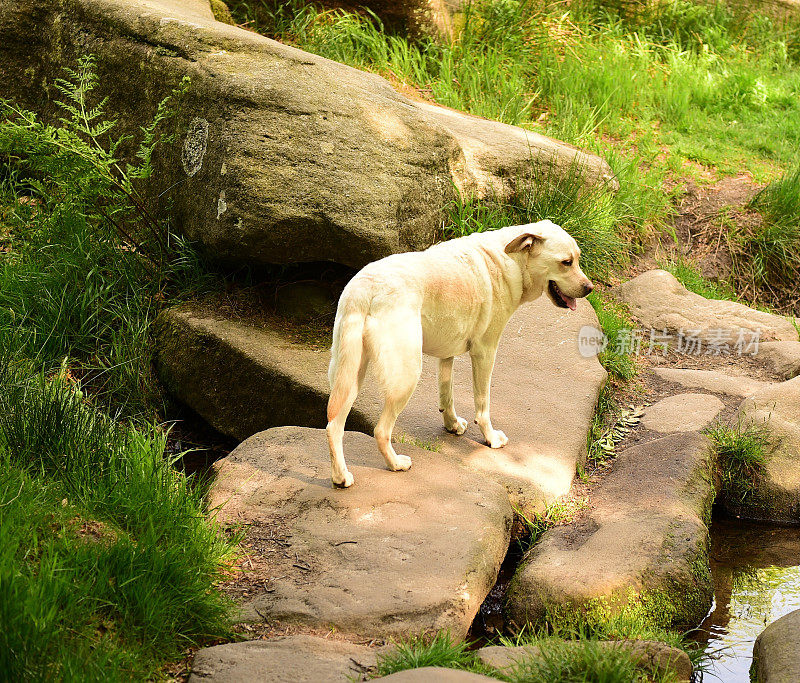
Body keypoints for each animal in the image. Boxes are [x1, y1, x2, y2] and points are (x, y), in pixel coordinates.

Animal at [324, 219, 592, 486]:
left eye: (578, 259)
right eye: (566, 262)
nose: (589, 288)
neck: (511, 260)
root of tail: (364, 287)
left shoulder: (447, 355)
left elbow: (447, 395)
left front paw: (452, 425)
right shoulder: (485, 352)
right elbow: (483, 405)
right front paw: (491, 438)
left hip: (349, 377)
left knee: (333, 426)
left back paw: (340, 477)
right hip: (405, 377)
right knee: (380, 431)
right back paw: (396, 463)